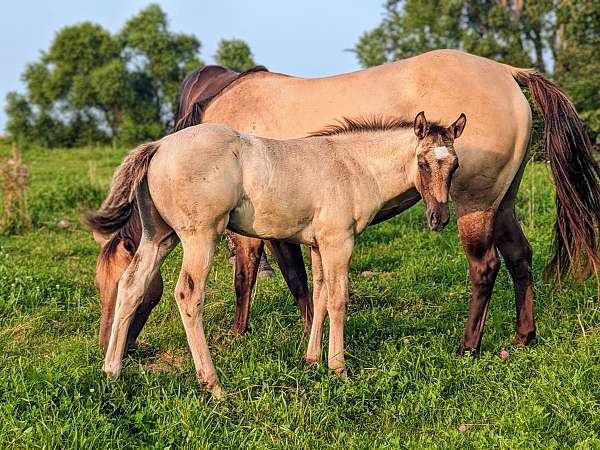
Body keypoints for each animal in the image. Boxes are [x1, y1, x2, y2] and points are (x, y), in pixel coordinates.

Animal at [91, 110, 466, 396]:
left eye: (455, 166)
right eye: (422, 162)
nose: (439, 218)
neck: (353, 165)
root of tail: (158, 146)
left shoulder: (317, 244)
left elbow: (319, 294)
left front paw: (312, 360)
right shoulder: (339, 241)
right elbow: (338, 300)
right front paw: (339, 368)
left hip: (160, 237)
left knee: (132, 285)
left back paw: (111, 370)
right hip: (201, 237)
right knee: (188, 294)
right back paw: (213, 385)